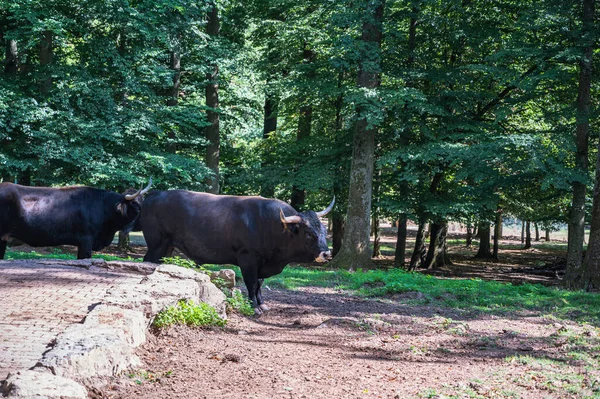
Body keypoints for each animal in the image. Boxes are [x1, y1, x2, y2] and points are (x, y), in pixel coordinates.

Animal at [140, 192, 336, 314]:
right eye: (308, 234)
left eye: (323, 230)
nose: (326, 254)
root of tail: (154, 196)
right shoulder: (248, 258)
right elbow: (251, 283)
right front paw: (254, 307)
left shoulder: (262, 262)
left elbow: (259, 284)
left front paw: (262, 304)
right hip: (157, 243)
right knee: (149, 260)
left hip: (167, 246)